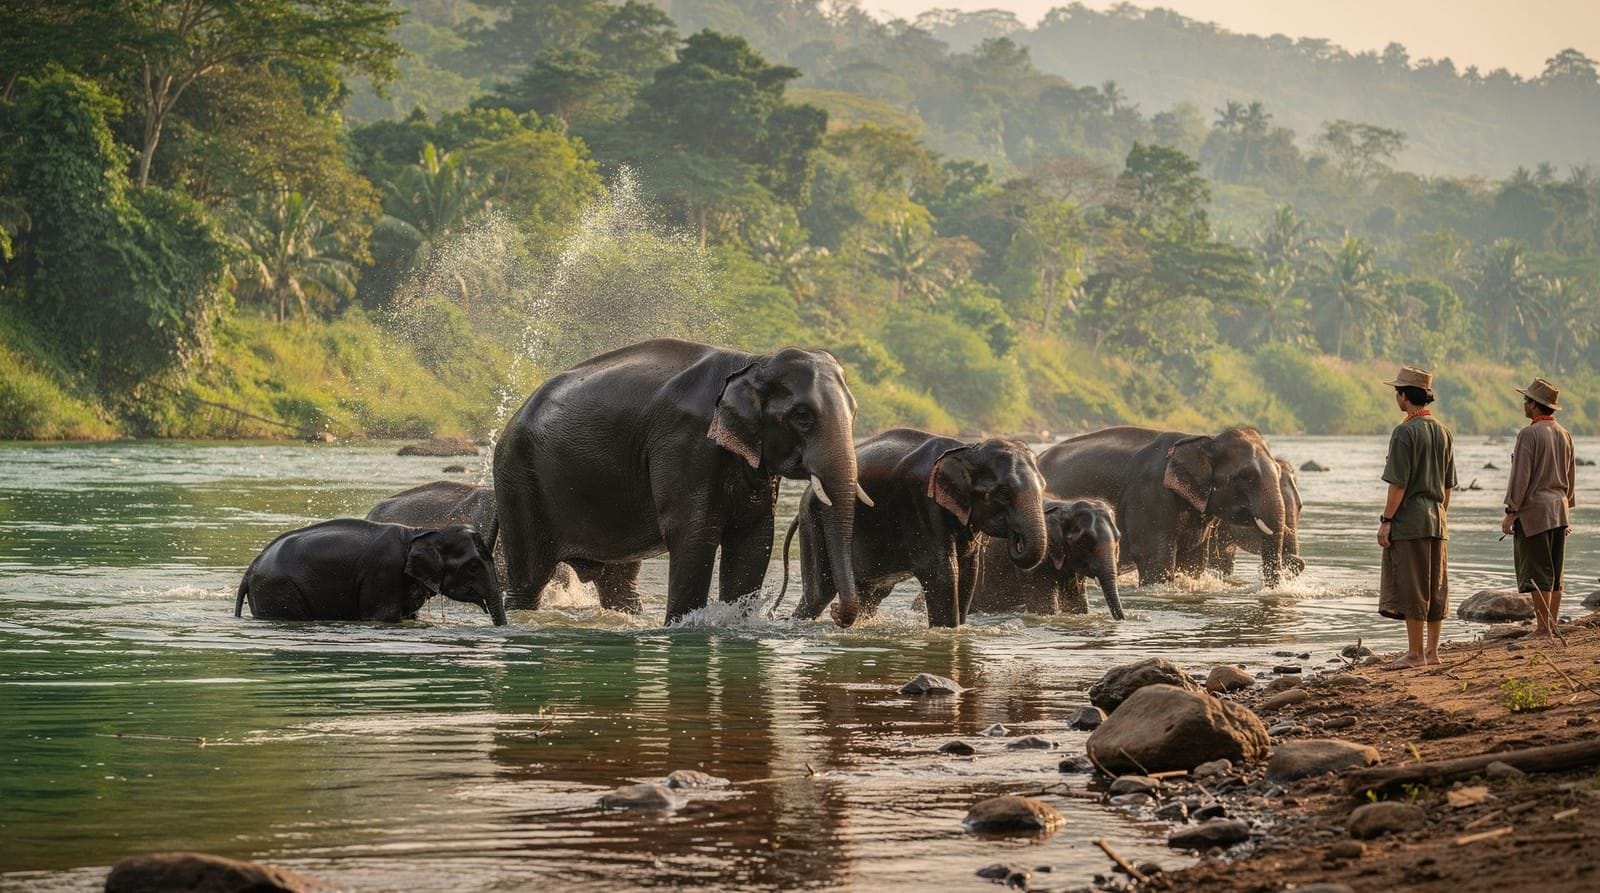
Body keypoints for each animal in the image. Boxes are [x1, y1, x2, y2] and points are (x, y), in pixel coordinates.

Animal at [235, 518, 506, 624]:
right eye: (473, 566)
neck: (424, 532)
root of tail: (249, 570)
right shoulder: (383, 575)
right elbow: (384, 618)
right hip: (277, 589)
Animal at [493, 338, 868, 626]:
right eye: (802, 417)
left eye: (854, 414)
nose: (838, 613)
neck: (753, 361)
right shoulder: (686, 445)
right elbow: (693, 534)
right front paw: (682, 626)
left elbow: (753, 536)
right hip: (518, 481)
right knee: (529, 579)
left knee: (618, 582)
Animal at [782, 428, 1049, 628]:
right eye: (1004, 492)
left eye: (1044, 487)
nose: (1016, 538)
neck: (968, 449)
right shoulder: (921, 503)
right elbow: (942, 571)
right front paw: (946, 632)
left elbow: (968, 570)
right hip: (814, 524)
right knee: (818, 593)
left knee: (871, 594)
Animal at [969, 498, 1125, 618]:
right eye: (1085, 542)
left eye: (1118, 538)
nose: (1122, 619)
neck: (1065, 506)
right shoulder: (1033, 566)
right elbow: (1044, 607)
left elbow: (1078, 603)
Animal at [1038, 426, 1288, 588]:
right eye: (1247, 477)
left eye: (1278, 470)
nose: (1267, 589)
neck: (1203, 440)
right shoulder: (1150, 495)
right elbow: (1154, 557)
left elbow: (1193, 560)